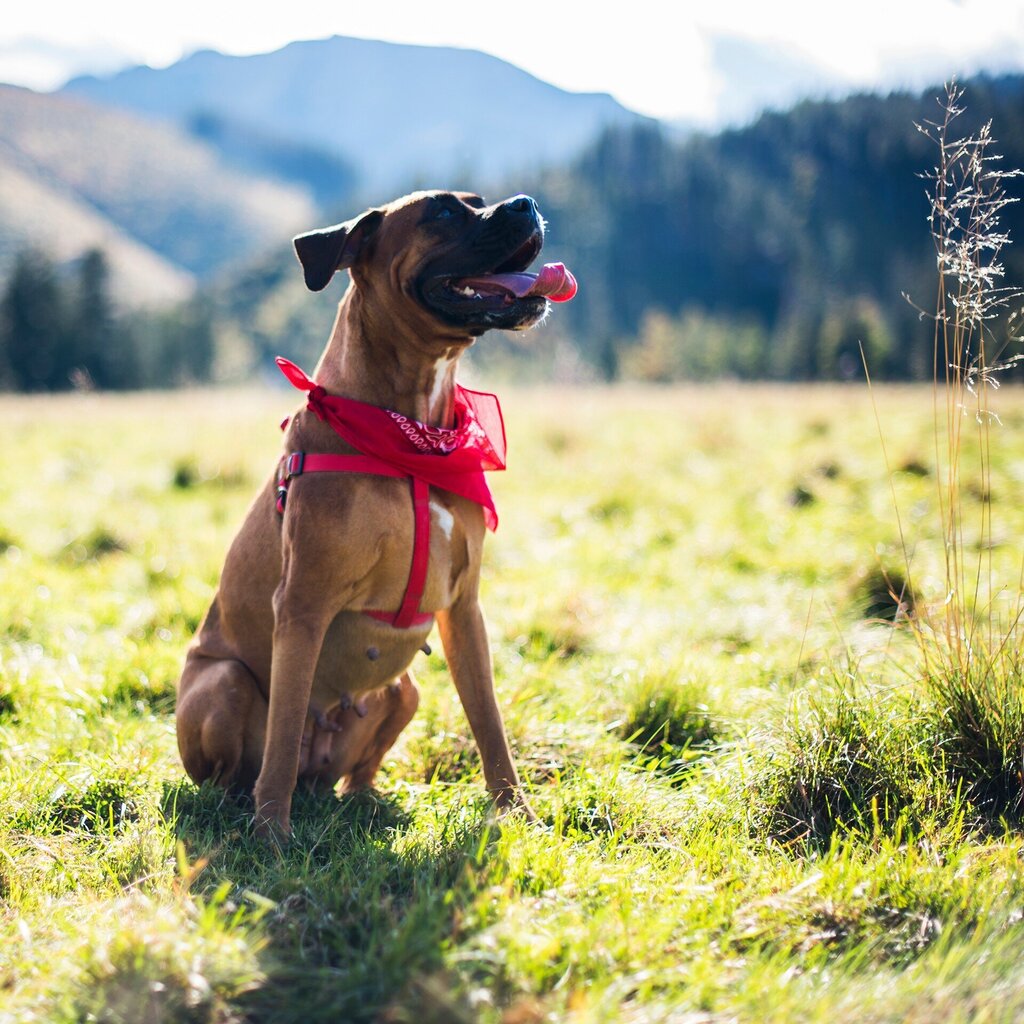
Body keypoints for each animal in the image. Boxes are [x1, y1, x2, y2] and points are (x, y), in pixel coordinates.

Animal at [176, 190, 577, 839]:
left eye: (479, 200)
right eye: (443, 212)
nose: (526, 202)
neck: (413, 436)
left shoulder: (465, 609)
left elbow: (489, 724)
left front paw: (517, 814)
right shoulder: (303, 605)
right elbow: (283, 731)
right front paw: (273, 836)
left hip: (404, 691)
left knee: (352, 770)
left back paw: (367, 802)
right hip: (225, 682)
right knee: (241, 768)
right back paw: (242, 807)